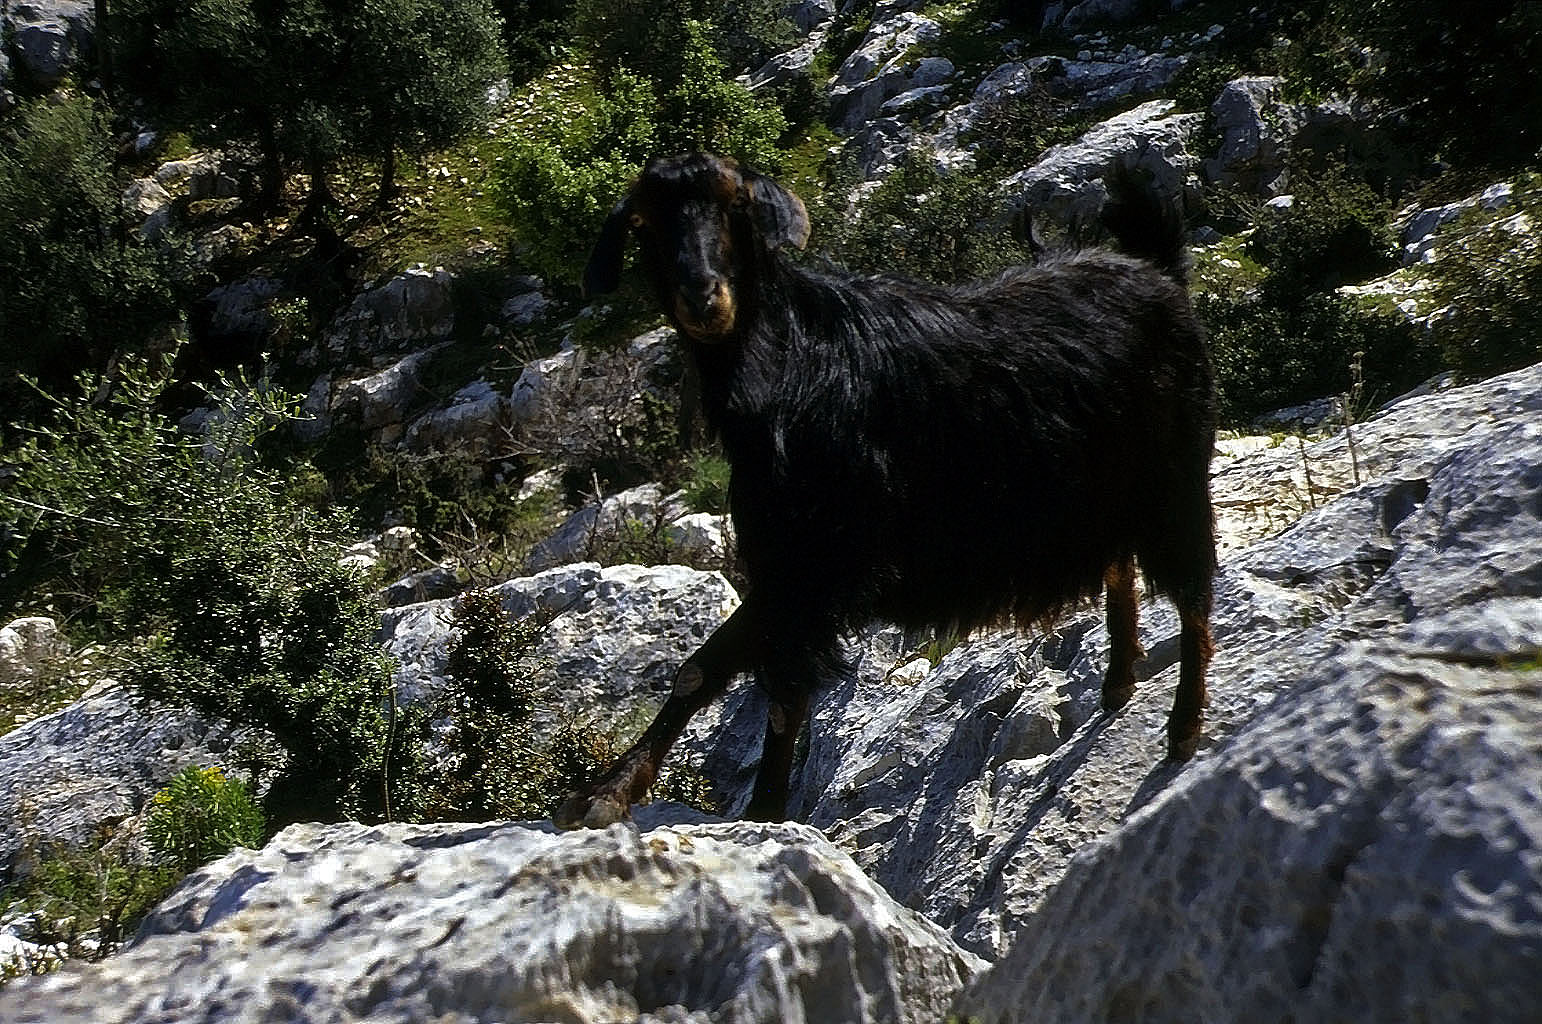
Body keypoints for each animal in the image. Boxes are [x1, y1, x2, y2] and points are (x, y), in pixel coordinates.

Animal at [554, 153, 1216, 829]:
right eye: (645, 224)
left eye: (736, 205)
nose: (703, 297)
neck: (789, 362)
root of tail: (1158, 270)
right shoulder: (784, 566)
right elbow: (699, 670)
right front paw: (607, 791)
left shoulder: (821, 564)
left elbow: (784, 696)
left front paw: (763, 810)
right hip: (1104, 491)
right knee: (1119, 561)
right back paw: (1118, 681)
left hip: (1176, 471)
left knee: (1193, 589)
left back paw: (1183, 726)